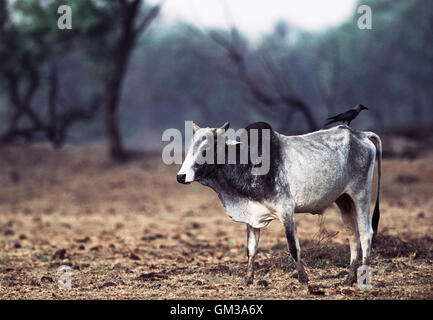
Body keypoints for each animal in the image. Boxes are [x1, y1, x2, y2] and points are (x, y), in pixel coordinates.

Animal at [176, 121, 382, 286]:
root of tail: (361, 135)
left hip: (361, 194)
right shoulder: (252, 216)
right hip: (344, 200)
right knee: (353, 237)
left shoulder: (286, 210)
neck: (247, 163)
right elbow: (251, 249)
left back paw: (363, 278)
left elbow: (293, 247)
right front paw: (248, 279)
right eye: (190, 149)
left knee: (366, 234)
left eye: (205, 151)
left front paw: (303, 278)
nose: (180, 176)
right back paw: (349, 279)